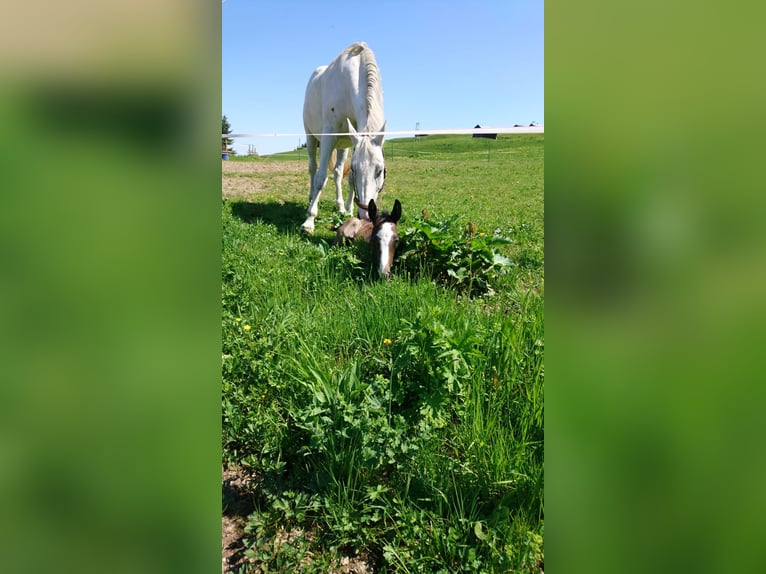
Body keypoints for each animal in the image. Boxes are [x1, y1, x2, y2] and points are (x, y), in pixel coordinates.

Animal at [300, 42, 384, 234]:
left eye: (379, 171)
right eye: (356, 168)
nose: (367, 215)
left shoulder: (353, 141)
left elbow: (348, 179)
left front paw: (348, 209)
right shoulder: (328, 137)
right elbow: (321, 179)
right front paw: (309, 221)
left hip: (342, 145)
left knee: (338, 173)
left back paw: (339, 206)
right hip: (311, 138)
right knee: (313, 168)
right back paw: (310, 198)